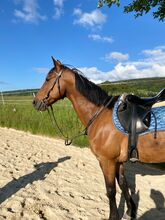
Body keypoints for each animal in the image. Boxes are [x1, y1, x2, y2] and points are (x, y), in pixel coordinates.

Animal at [32, 57, 165, 219]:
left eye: (47, 79)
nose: (35, 102)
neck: (100, 114)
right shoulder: (118, 161)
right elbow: (123, 184)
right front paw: (129, 212)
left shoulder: (106, 161)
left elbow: (111, 191)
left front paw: (114, 216)